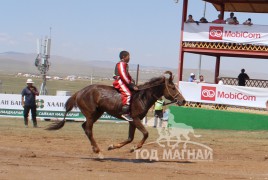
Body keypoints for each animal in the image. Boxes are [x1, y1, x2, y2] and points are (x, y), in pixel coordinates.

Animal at [46, 71, 185, 158]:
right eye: (173, 87)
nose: (183, 100)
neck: (142, 97)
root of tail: (80, 92)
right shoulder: (135, 119)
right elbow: (145, 134)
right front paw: (134, 148)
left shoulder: (132, 121)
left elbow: (130, 138)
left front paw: (113, 146)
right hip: (91, 114)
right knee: (88, 130)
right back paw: (98, 151)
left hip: (97, 113)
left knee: (85, 127)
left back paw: (96, 149)